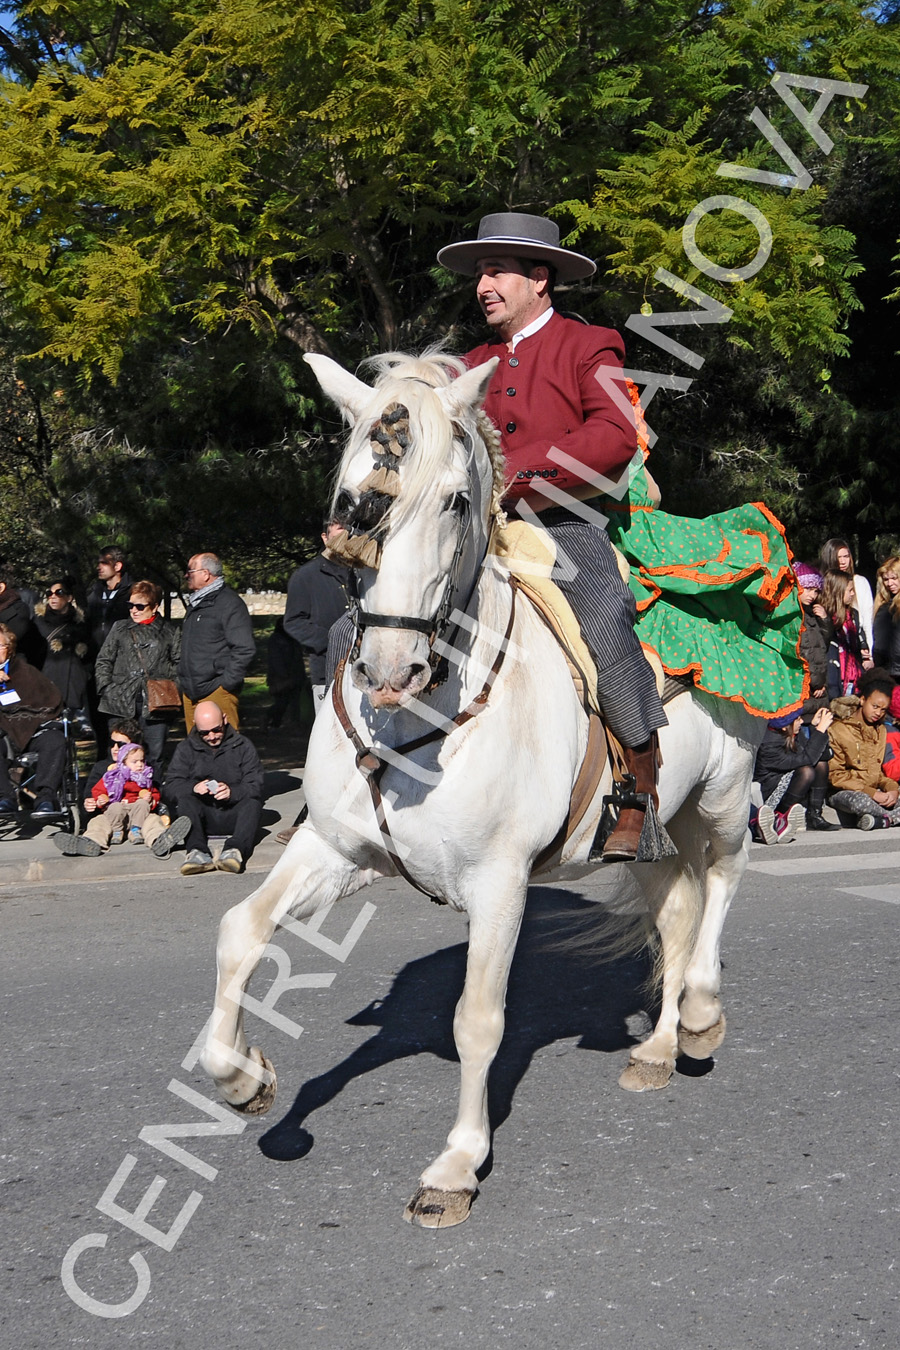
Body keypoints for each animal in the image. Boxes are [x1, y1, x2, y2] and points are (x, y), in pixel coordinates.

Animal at [201, 345, 766, 1225]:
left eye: (456, 499)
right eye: (351, 498)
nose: (389, 670)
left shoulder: (500, 883)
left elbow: (478, 1019)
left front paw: (456, 1164)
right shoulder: (334, 848)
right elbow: (242, 931)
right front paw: (243, 1078)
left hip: (724, 793)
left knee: (726, 879)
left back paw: (703, 1014)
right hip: (653, 826)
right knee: (677, 908)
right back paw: (658, 1047)